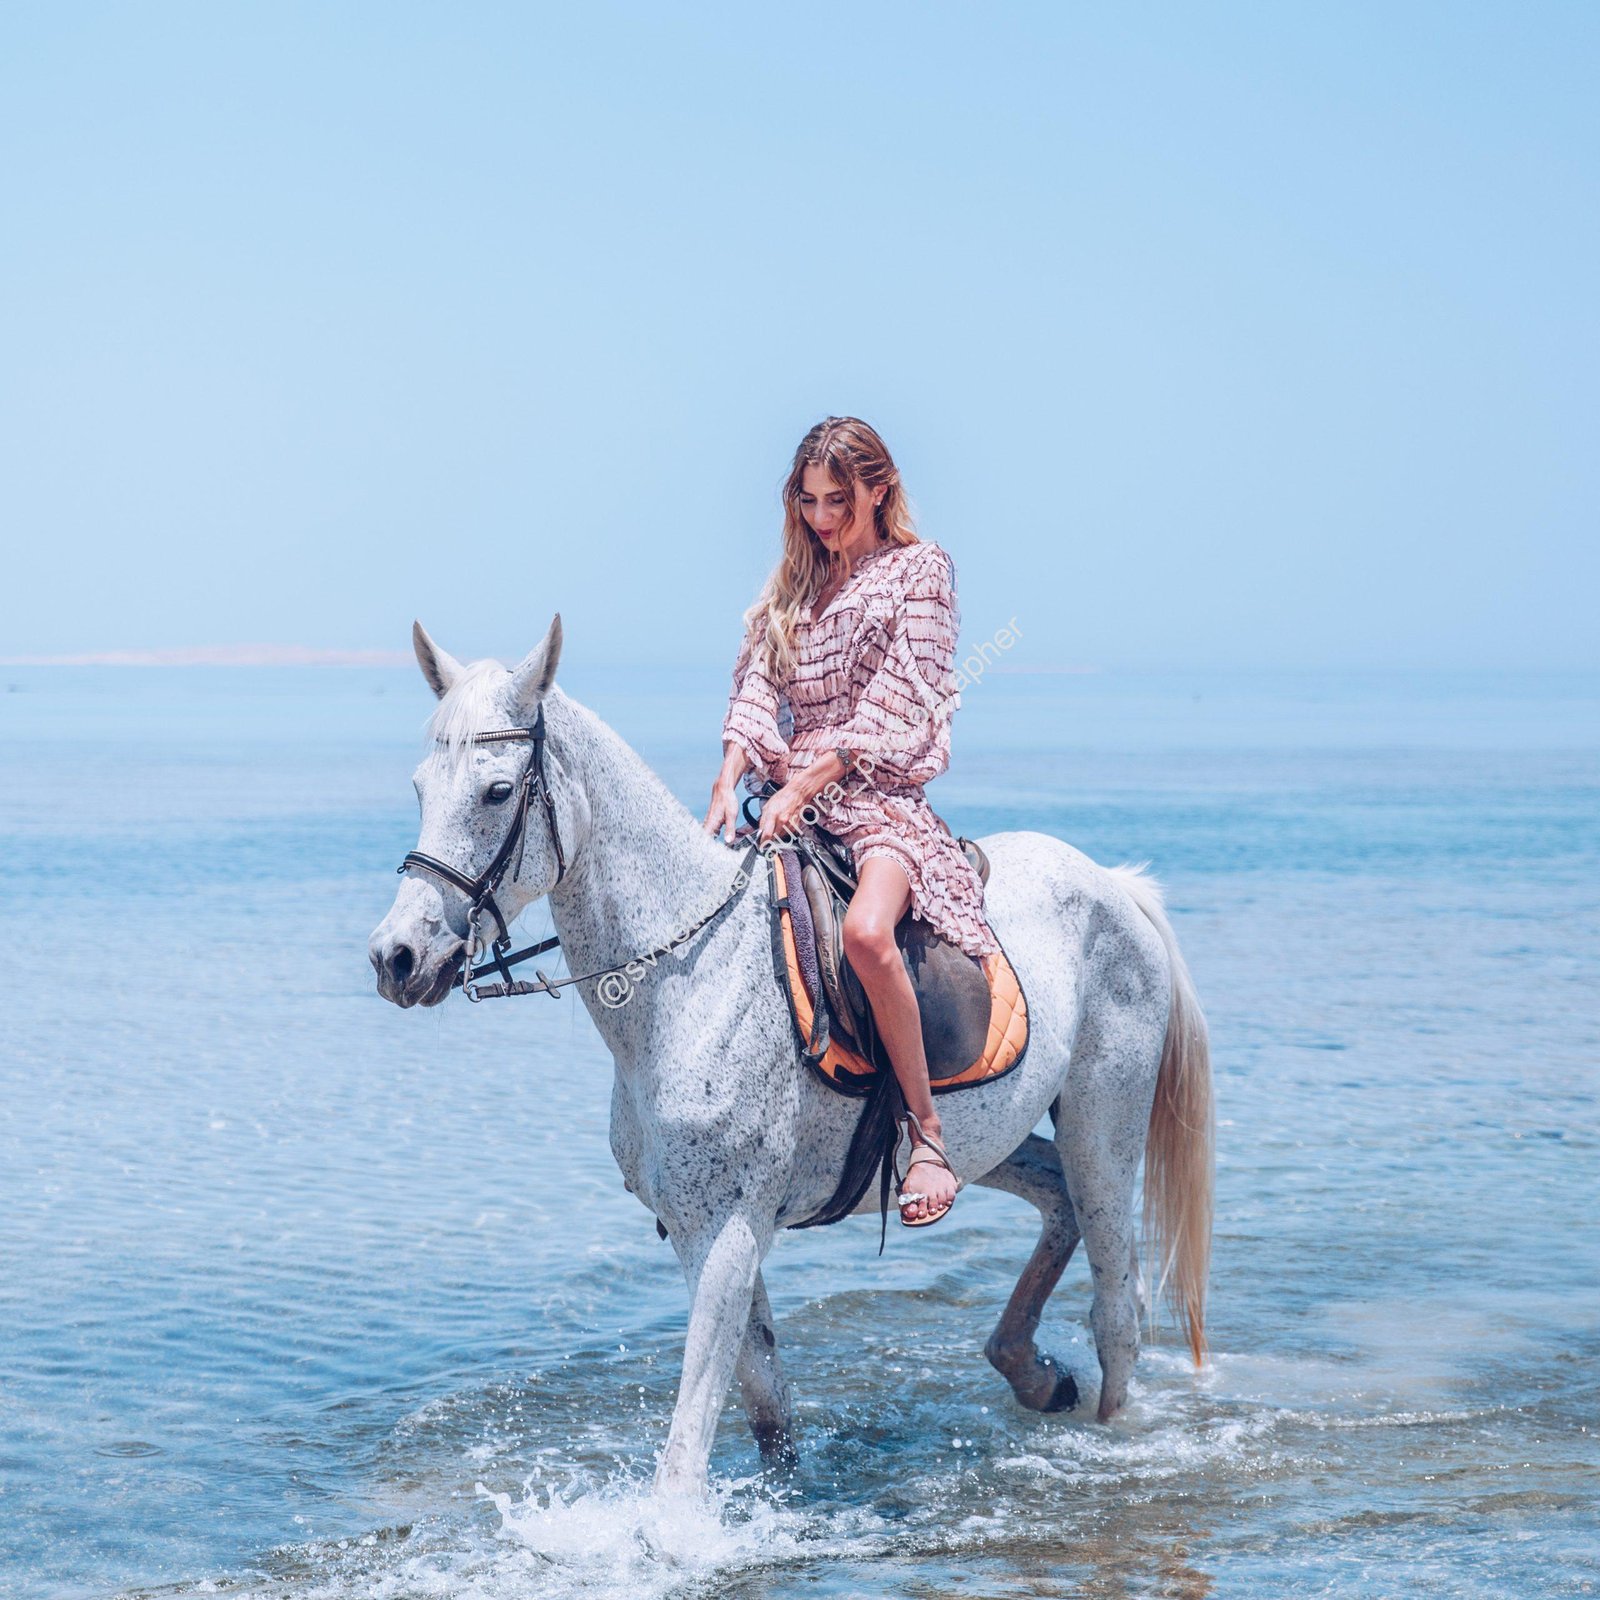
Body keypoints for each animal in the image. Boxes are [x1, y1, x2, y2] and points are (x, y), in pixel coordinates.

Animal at [368, 615, 1215, 1499]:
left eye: (497, 792)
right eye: (422, 787)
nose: (396, 957)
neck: (686, 974)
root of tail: (1114, 886)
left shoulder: (730, 1231)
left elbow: (686, 1449)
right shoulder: (698, 1230)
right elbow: (766, 1404)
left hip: (1103, 1123)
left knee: (1115, 1306)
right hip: (994, 1141)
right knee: (1058, 1202)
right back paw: (1030, 1371)